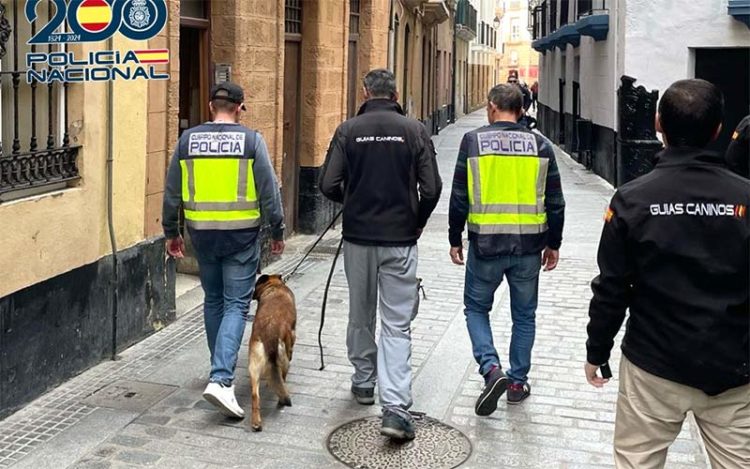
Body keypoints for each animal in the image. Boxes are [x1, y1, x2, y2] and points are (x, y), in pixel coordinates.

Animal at [250, 274, 296, 432]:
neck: (274, 285)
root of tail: (269, 333)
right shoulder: (292, 337)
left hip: (254, 365)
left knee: (255, 395)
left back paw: (256, 422)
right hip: (283, 359)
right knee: (282, 377)